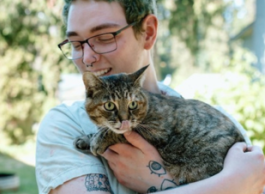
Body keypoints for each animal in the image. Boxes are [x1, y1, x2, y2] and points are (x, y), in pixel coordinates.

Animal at [74, 65, 243, 185]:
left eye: (133, 104)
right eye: (109, 105)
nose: (125, 120)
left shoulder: (156, 132)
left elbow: (120, 133)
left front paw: (98, 140)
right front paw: (86, 138)